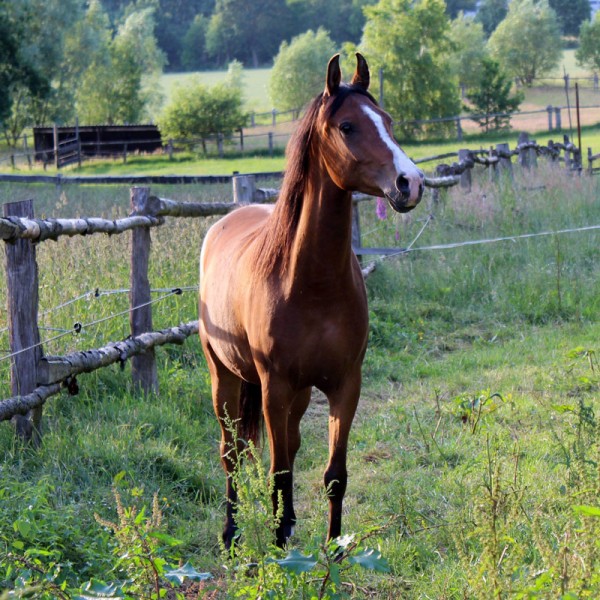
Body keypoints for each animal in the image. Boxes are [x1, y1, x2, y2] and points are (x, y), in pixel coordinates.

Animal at [199, 52, 424, 548]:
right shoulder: (274, 386)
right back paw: (232, 532)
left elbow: (333, 474)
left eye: (388, 121)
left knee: (287, 444)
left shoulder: (344, 384)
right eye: (347, 126)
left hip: (299, 394)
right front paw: (280, 546)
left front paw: (331, 549)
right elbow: (279, 470)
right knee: (232, 453)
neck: (310, 283)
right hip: (224, 375)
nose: (411, 183)